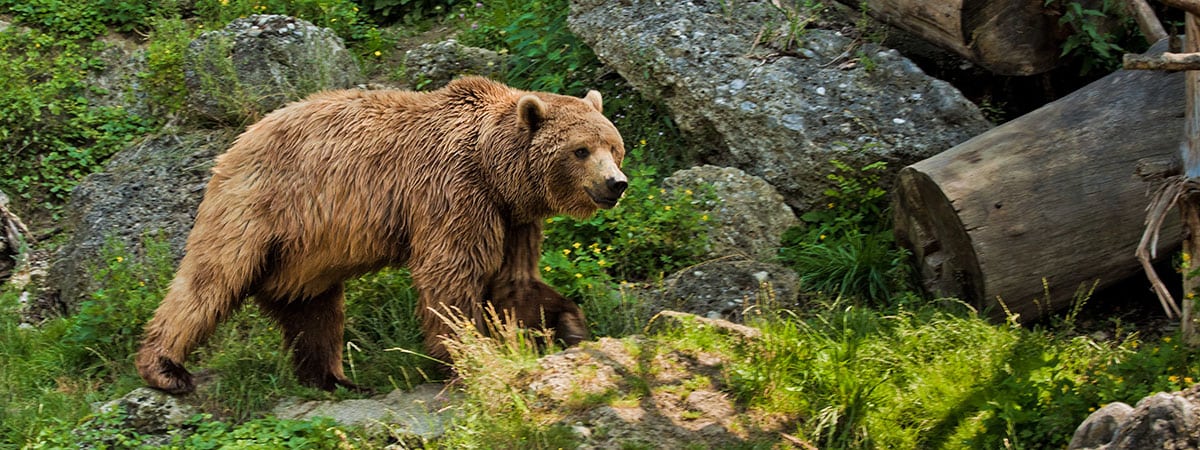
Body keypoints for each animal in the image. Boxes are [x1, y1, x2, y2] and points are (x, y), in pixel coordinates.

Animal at [136, 77, 628, 393]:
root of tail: (236, 142)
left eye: (613, 146)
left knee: (311, 307)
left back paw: (333, 379)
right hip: (259, 206)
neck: (496, 170)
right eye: (581, 150)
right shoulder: (453, 193)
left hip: (304, 252)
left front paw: (570, 325)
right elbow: (450, 277)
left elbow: (514, 283)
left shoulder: (513, 219)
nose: (616, 184)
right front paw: (470, 356)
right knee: (211, 279)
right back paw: (166, 369)